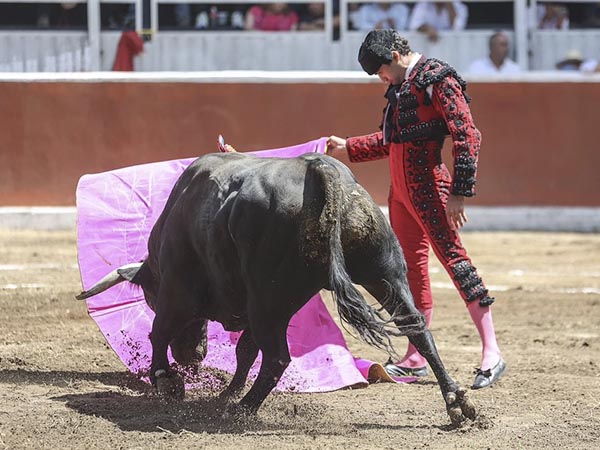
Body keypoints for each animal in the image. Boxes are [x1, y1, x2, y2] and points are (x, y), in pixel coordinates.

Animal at [77, 153, 476, 424]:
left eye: (149, 296)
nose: (193, 355)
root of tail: (321, 170)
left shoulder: (177, 289)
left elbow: (159, 332)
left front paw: (168, 382)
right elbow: (244, 351)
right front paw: (223, 392)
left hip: (267, 300)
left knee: (277, 357)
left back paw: (242, 409)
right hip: (384, 273)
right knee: (417, 327)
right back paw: (458, 403)